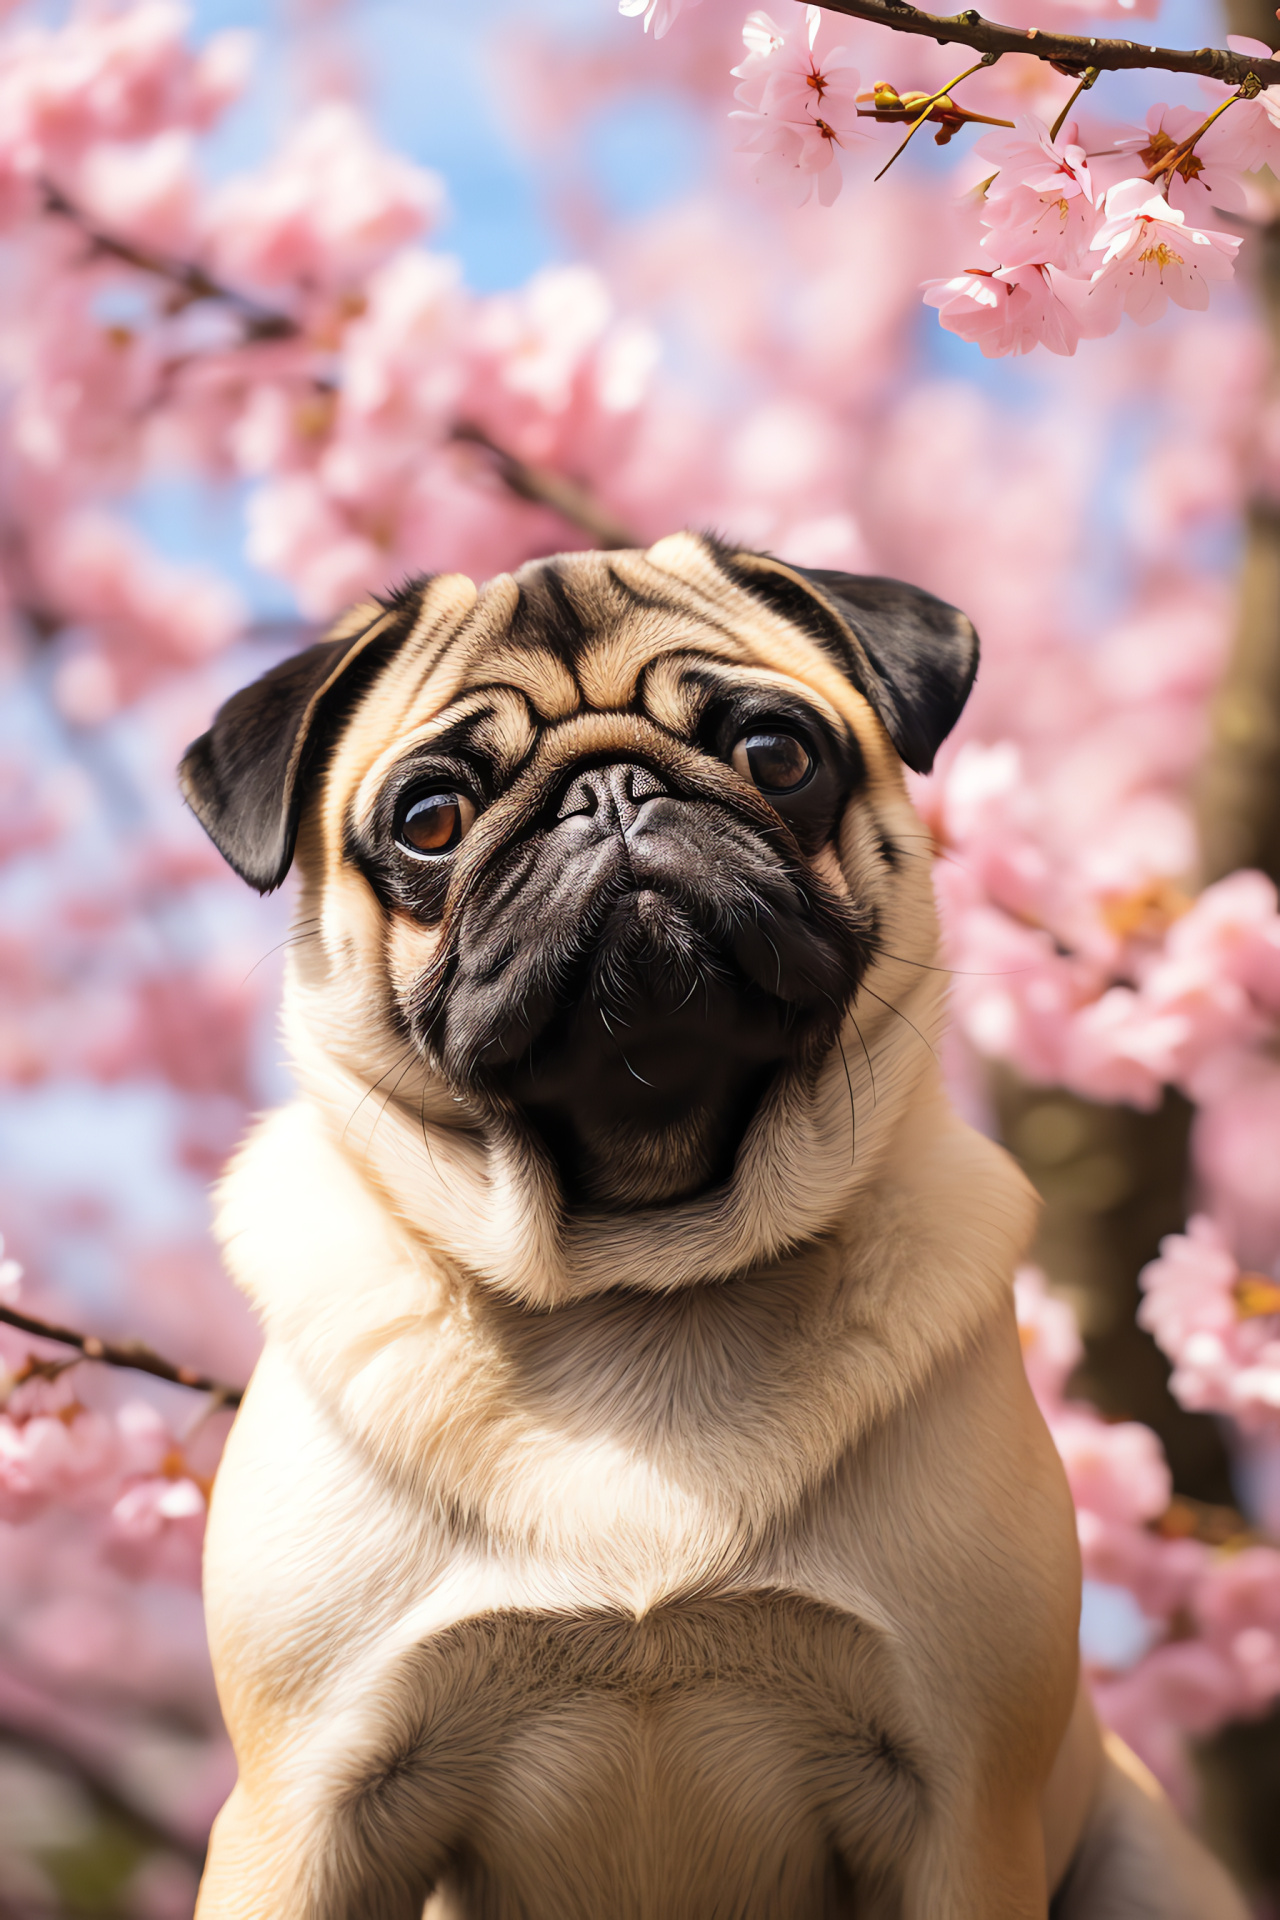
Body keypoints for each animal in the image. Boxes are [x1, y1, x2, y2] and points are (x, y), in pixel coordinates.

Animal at [182, 533, 1251, 1920]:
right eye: (429, 820)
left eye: (772, 753)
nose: (608, 790)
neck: (642, 1275)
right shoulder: (305, 1812)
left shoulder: (964, 1815)